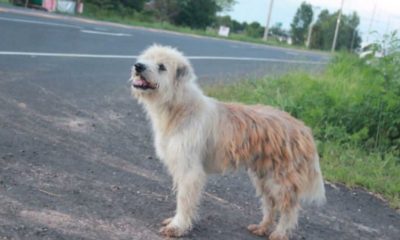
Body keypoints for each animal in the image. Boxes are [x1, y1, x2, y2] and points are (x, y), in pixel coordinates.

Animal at [130, 45, 326, 240]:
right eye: (146, 58)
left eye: (162, 66)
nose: (138, 66)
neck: (179, 107)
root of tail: (303, 129)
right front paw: (175, 221)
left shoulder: (190, 171)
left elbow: (184, 200)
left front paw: (177, 226)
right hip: (263, 178)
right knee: (270, 204)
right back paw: (262, 227)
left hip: (280, 181)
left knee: (288, 209)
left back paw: (280, 233)